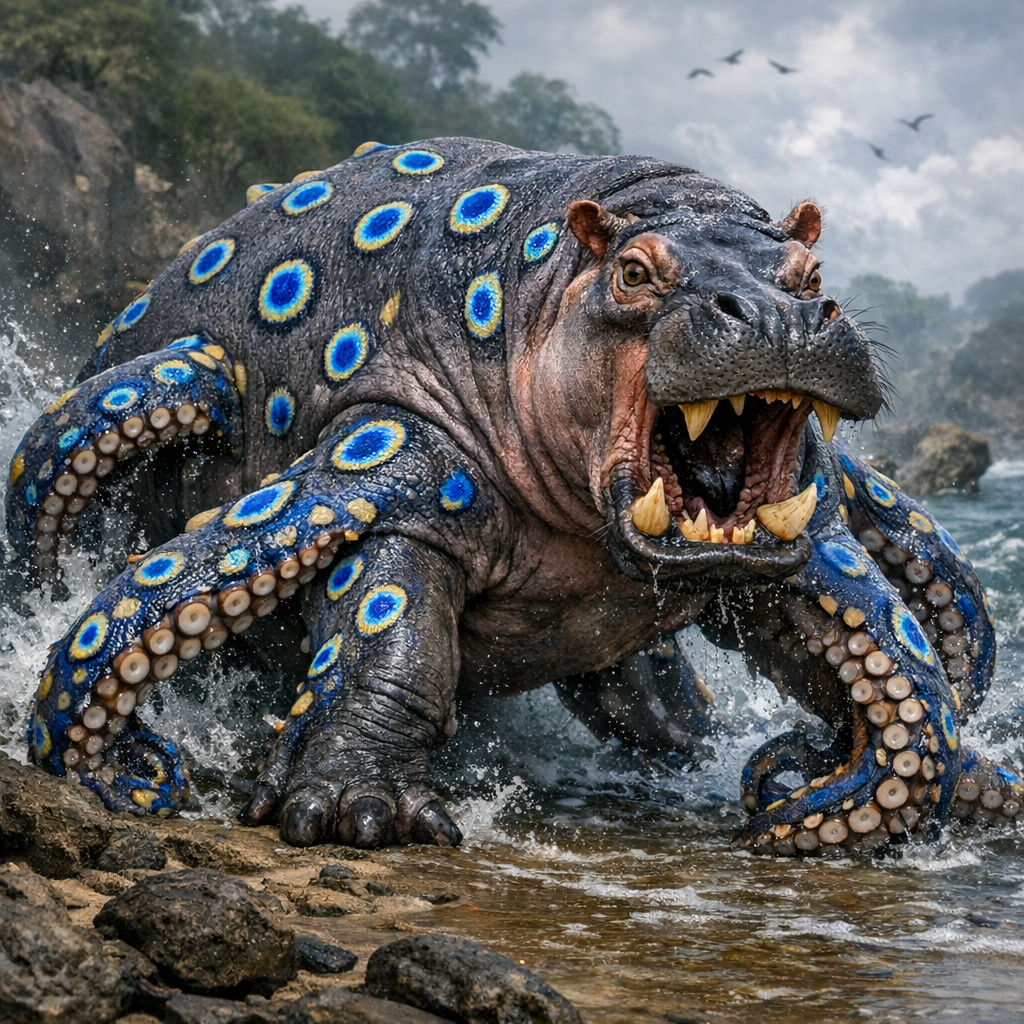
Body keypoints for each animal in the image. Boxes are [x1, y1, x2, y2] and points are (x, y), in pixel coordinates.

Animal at [7, 137, 1023, 853]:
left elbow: (839, 646)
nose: (784, 316)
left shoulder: (788, 551)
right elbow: (391, 618)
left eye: (814, 280)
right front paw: (358, 812)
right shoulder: (403, 454)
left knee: (656, 712)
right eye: (635, 274)